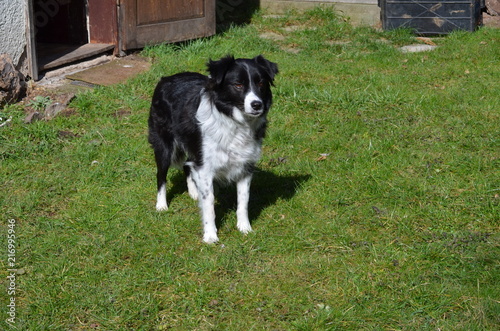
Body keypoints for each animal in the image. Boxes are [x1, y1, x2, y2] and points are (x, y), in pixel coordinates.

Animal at [148, 55, 278, 244]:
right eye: (238, 85)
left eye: (261, 83)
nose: (256, 104)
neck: (235, 121)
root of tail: (166, 78)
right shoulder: (205, 167)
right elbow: (209, 202)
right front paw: (210, 235)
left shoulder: (245, 165)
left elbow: (243, 200)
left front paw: (245, 228)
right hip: (164, 145)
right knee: (161, 175)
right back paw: (161, 205)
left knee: (187, 165)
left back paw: (194, 192)